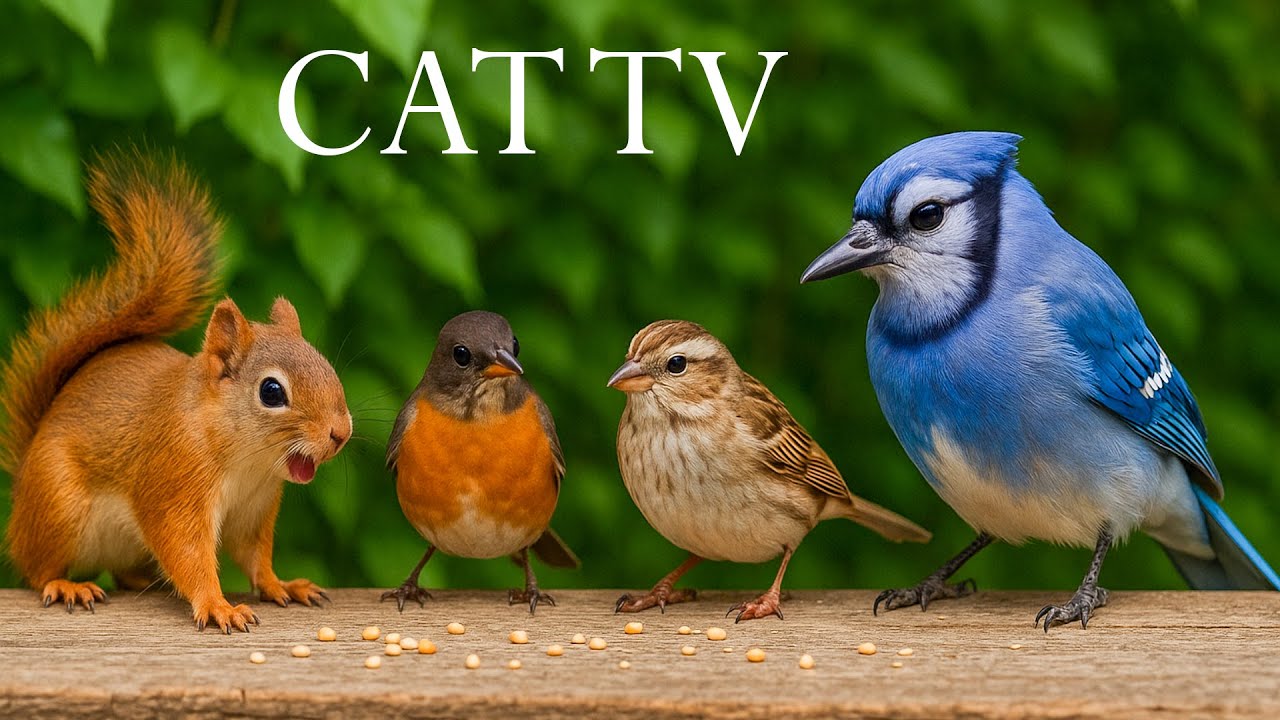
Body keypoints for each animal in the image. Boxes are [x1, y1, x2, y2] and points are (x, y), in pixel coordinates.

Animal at [0, 151, 352, 632]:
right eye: (272, 391)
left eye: (325, 364)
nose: (341, 433)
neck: (247, 460)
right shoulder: (175, 486)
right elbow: (187, 552)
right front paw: (219, 605)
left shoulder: (253, 510)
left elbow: (254, 556)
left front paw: (281, 585)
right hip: (58, 505)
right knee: (37, 569)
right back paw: (65, 584)